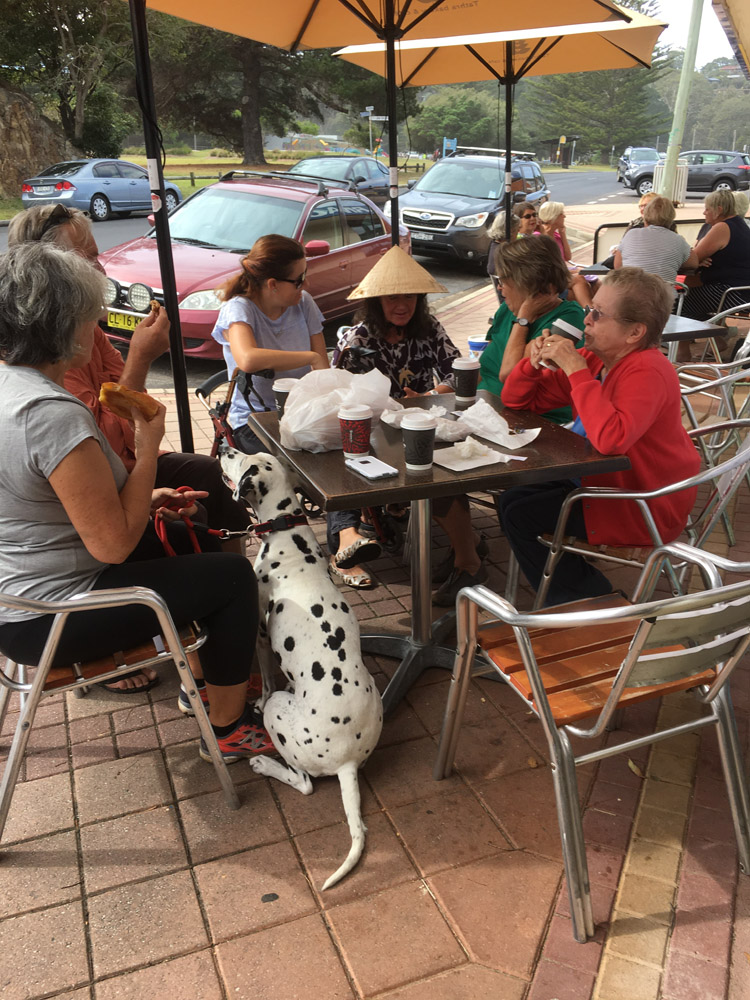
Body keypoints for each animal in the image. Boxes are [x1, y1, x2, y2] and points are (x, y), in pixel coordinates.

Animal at [217, 450, 382, 888]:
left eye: (242, 459)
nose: (222, 449)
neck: (285, 532)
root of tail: (346, 763)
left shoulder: (259, 634)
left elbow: (265, 676)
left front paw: (254, 698)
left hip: (280, 714)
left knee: (304, 784)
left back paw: (265, 764)